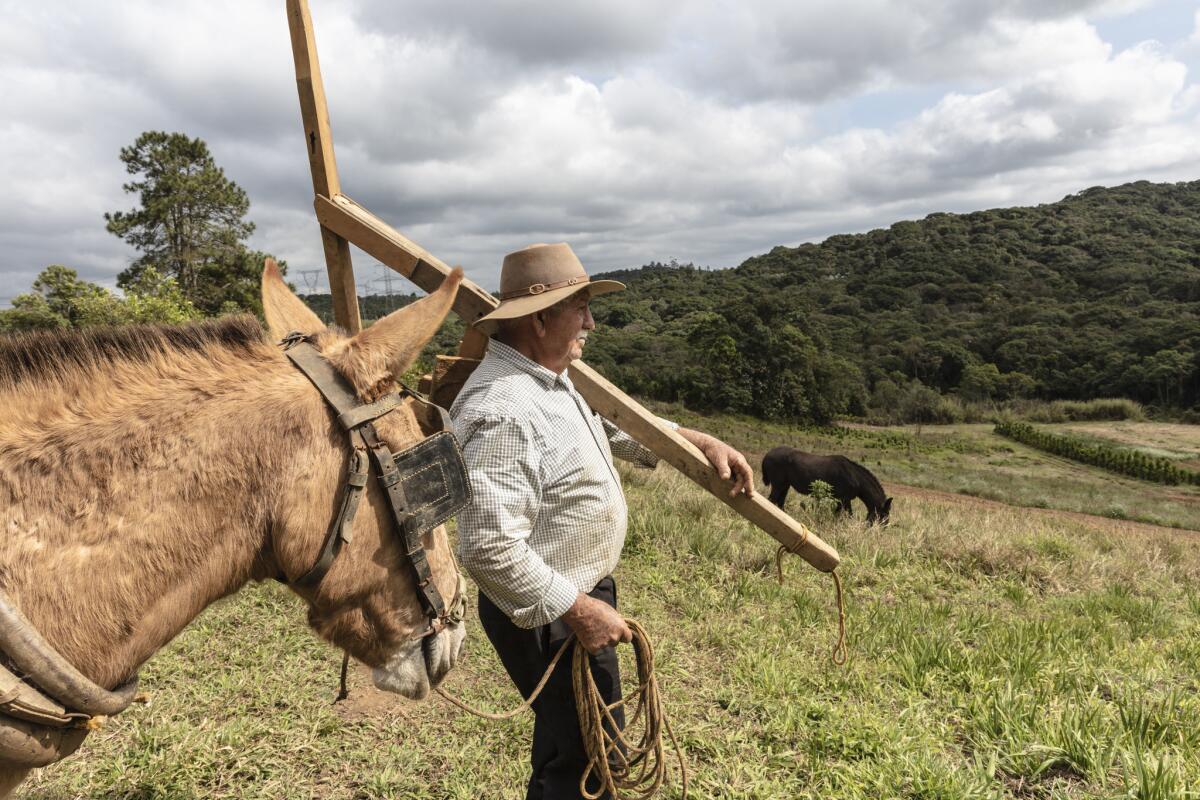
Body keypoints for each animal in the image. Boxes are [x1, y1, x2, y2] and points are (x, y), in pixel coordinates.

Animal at [758, 443, 892, 525]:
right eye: (884, 516)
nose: (882, 530)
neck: (855, 478)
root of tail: (767, 455)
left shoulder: (840, 500)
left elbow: (837, 514)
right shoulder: (844, 499)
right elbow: (849, 515)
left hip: (785, 486)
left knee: (780, 503)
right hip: (778, 485)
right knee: (772, 500)